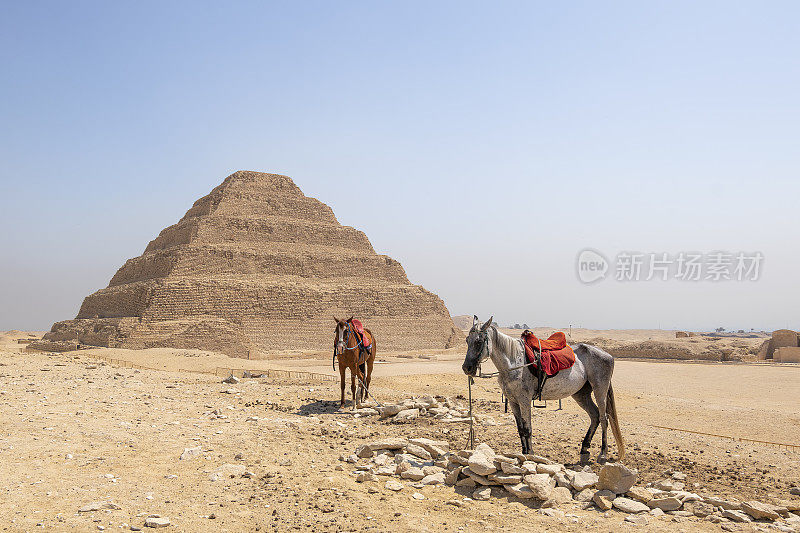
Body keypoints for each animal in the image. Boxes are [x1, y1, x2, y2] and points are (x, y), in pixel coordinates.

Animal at [462, 316, 624, 462]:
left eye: (478, 341)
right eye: (467, 340)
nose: (467, 368)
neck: (514, 363)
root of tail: (608, 355)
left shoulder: (524, 401)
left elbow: (527, 429)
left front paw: (530, 455)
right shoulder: (513, 402)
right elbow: (520, 429)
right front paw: (523, 453)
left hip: (600, 390)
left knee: (603, 418)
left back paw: (602, 454)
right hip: (581, 394)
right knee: (594, 415)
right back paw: (584, 449)